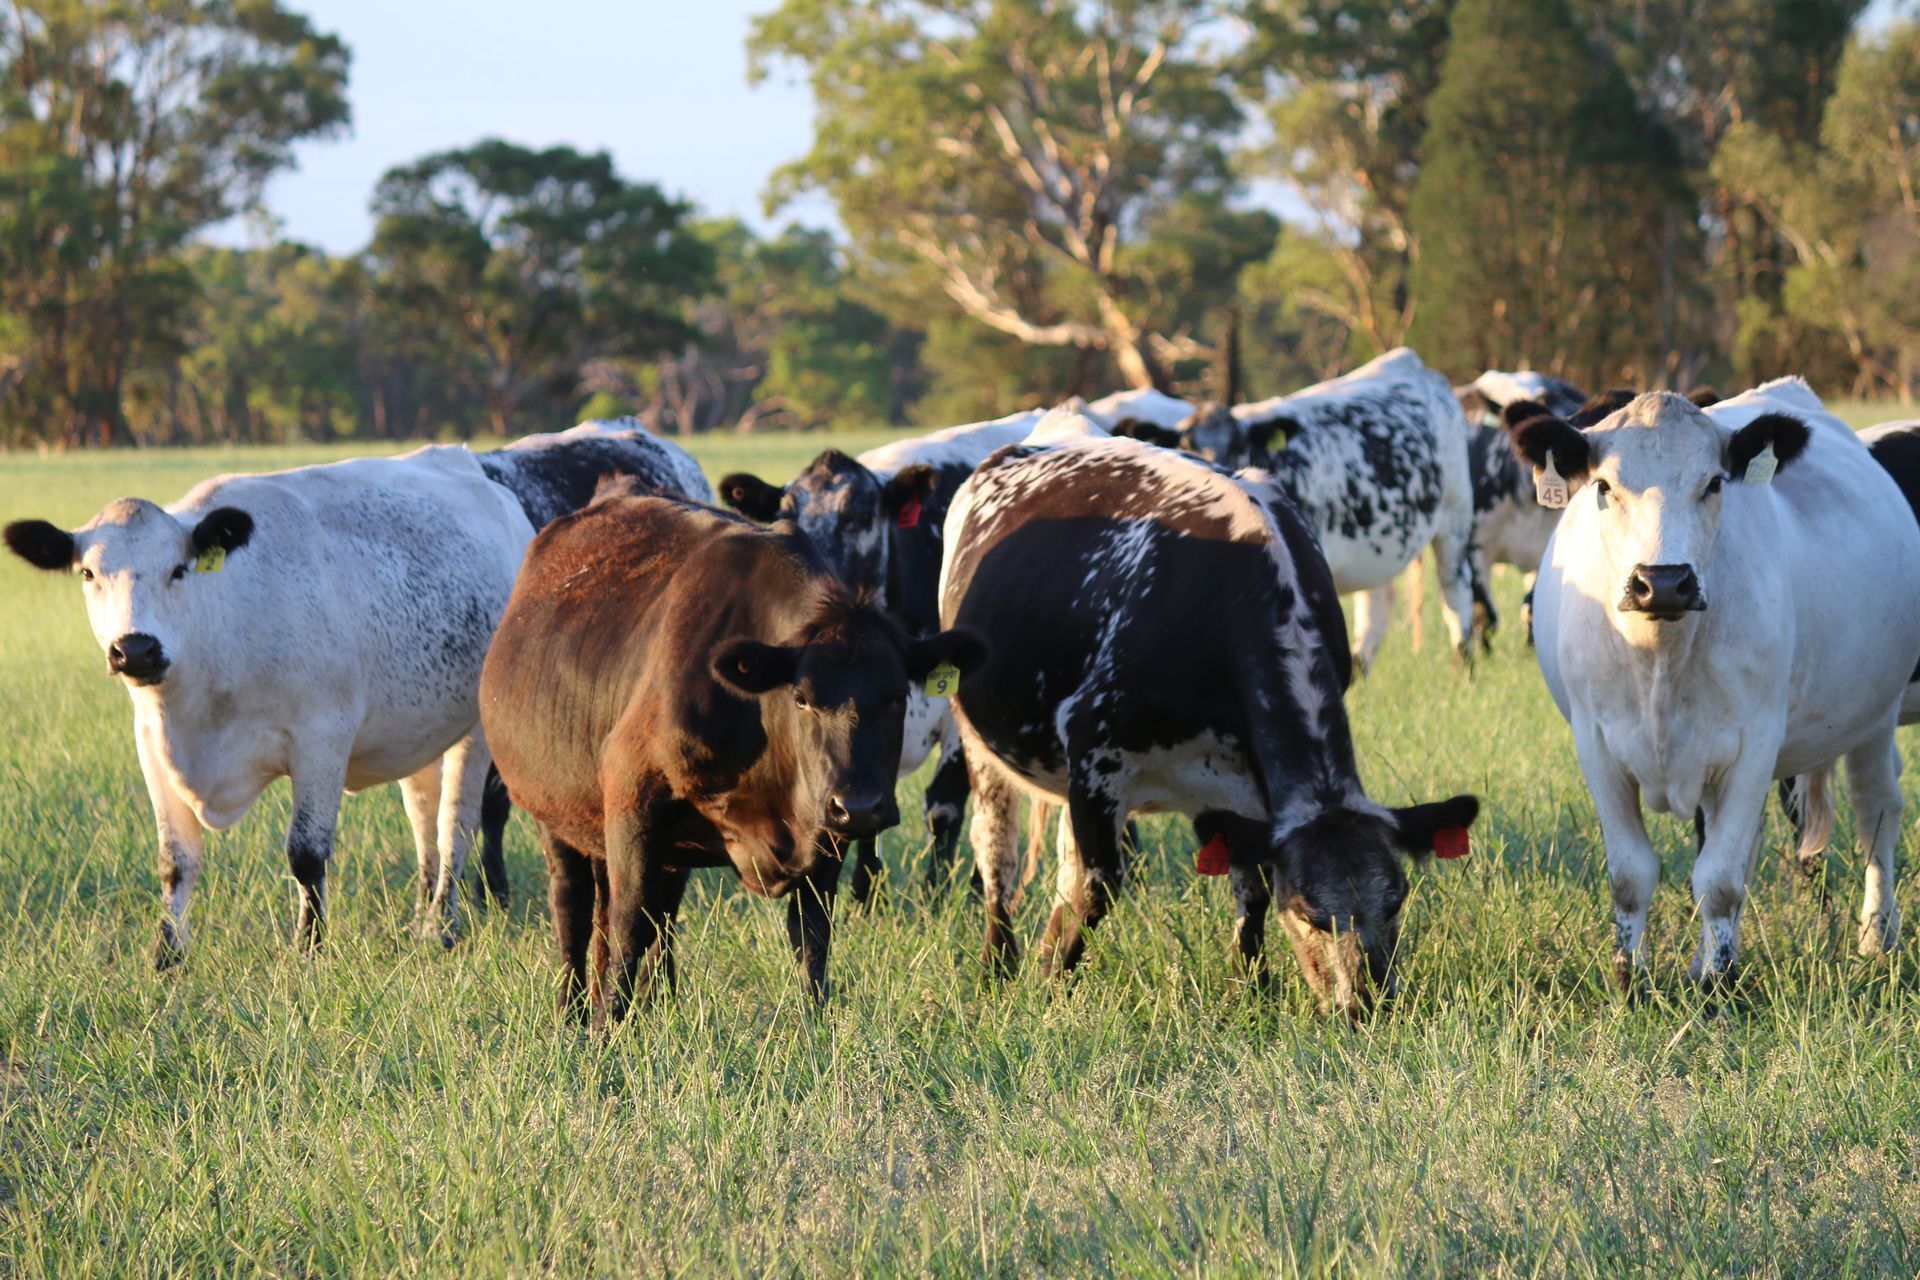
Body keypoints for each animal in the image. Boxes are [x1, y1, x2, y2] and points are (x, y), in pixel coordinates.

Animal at [3, 447, 535, 964]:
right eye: (88, 573)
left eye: (178, 570)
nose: (135, 649)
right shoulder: (152, 747)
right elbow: (176, 861)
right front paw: (167, 954)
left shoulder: (322, 740)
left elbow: (306, 853)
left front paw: (309, 947)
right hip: (418, 732)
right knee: (424, 820)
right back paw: (422, 919)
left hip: (475, 732)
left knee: (454, 826)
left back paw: (441, 925)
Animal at [478, 483, 984, 1021]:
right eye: (801, 697)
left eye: (896, 696)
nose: (860, 805)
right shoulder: (633, 796)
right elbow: (629, 924)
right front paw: (607, 1025)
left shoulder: (826, 832)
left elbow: (811, 935)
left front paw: (814, 1021)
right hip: (553, 812)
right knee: (573, 905)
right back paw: (573, 1012)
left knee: (658, 915)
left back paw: (659, 1003)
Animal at [938, 436, 1480, 1016]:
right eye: (1312, 913)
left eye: (1396, 900)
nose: (1367, 1004)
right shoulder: (1094, 754)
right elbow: (1096, 886)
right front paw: (1049, 986)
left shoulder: (1246, 792)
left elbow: (1253, 887)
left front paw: (1251, 992)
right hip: (977, 739)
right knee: (996, 852)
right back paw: (998, 965)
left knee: (1062, 860)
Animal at [1519, 379, 1920, 992]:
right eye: (1604, 487)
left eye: (1713, 482)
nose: (1662, 581)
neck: (1660, 661)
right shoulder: (1597, 745)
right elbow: (1633, 874)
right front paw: (1632, 976)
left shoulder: (1755, 745)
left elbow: (1720, 880)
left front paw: (1716, 982)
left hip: (1875, 716)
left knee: (1876, 812)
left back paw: (1877, 937)